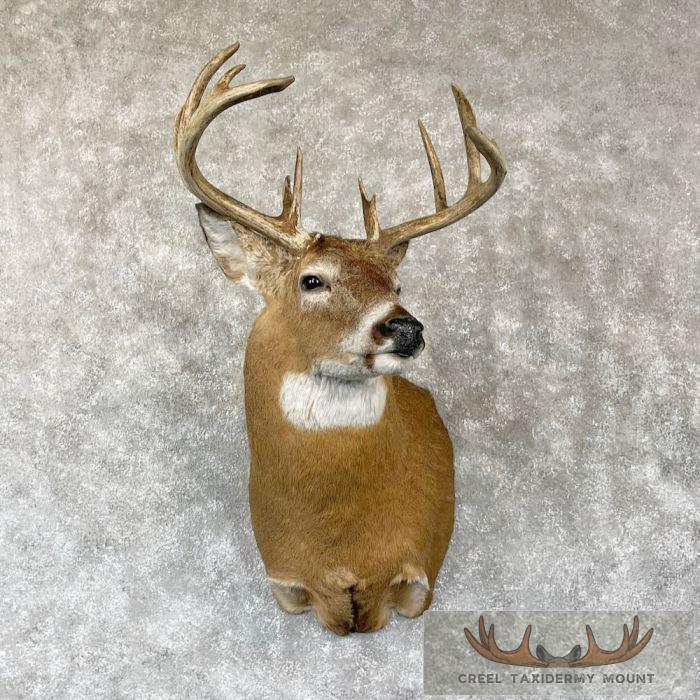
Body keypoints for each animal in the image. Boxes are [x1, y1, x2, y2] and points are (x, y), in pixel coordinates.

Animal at [173, 43, 506, 635]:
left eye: (397, 283)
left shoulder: (420, 573)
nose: (406, 327)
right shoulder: (284, 577)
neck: (342, 550)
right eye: (312, 280)